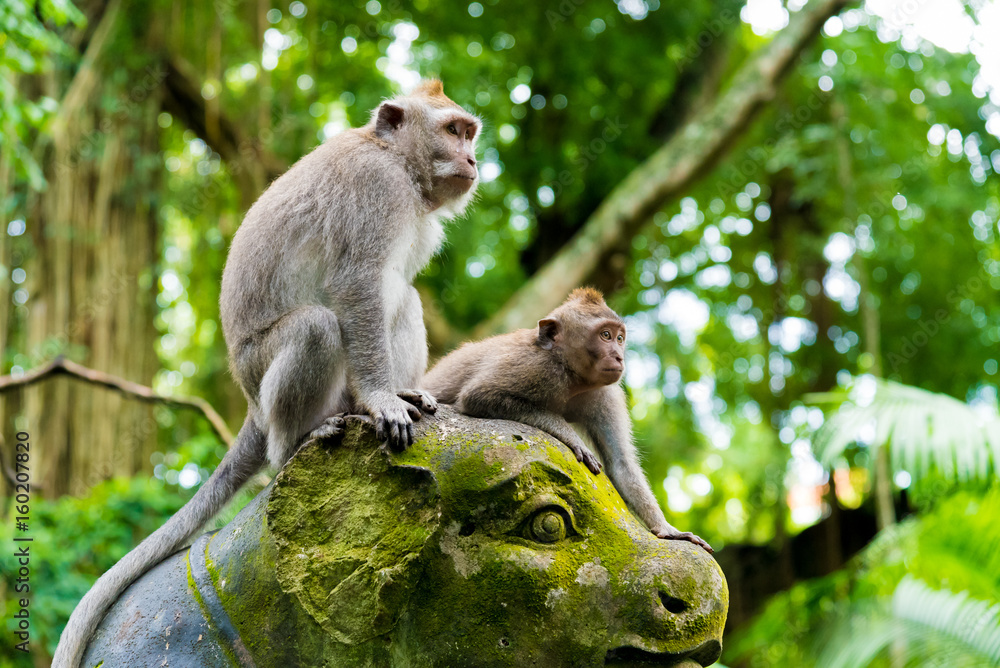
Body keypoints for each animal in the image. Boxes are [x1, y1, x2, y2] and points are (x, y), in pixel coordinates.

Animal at [54, 80, 480, 667]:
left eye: (469, 132)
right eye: (453, 130)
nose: (473, 159)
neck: (397, 161)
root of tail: (253, 407)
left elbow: (385, 293)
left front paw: (392, 394)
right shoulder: (376, 191)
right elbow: (357, 285)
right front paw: (381, 399)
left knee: (403, 299)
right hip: (262, 373)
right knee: (319, 328)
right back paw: (297, 441)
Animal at [421, 288, 713, 553]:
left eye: (620, 338)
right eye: (605, 335)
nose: (619, 356)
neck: (572, 376)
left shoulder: (606, 394)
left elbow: (620, 464)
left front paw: (667, 529)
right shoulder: (533, 366)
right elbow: (479, 396)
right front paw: (572, 438)